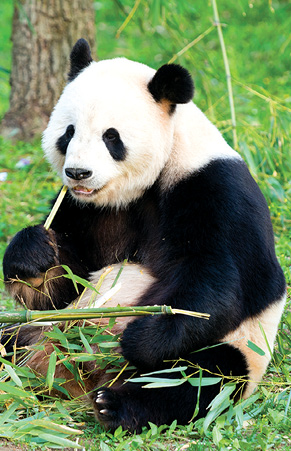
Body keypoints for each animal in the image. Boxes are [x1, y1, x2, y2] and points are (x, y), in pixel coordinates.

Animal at [2, 38, 288, 434]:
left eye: (111, 137)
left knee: (201, 378)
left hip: (242, 347)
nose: (78, 173)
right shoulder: (83, 210)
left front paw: (138, 337)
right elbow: (62, 287)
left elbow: (218, 286)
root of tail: (78, 373)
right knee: (11, 340)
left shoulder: (214, 191)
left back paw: (115, 403)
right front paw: (33, 253)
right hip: (37, 331)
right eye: (68, 132)